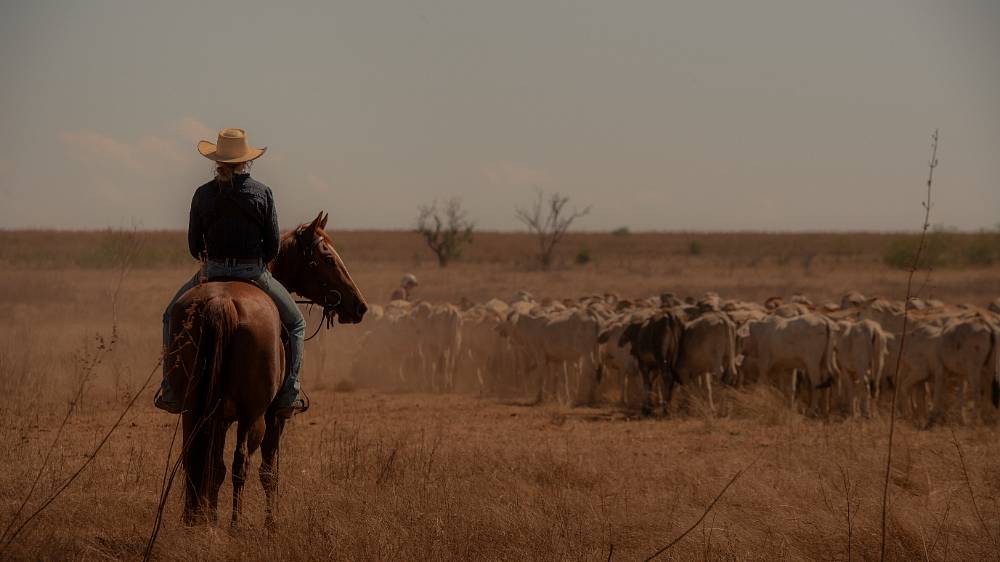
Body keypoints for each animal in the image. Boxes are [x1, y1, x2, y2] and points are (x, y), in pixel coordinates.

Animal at [164, 210, 368, 524]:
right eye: (328, 258)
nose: (359, 306)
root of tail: (221, 302)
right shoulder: (275, 417)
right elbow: (269, 471)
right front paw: (270, 524)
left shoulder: (219, 417)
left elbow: (213, 466)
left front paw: (210, 517)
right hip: (253, 415)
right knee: (241, 464)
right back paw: (235, 526)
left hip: (193, 408)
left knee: (197, 460)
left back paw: (195, 521)